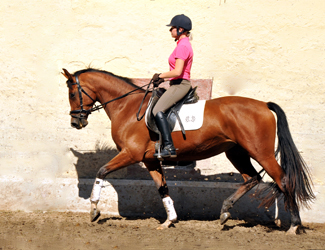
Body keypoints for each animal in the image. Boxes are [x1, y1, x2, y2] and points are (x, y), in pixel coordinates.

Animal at [62, 67, 312, 233]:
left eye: (73, 93)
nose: (76, 122)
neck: (129, 108)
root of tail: (263, 105)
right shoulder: (151, 160)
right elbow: (162, 188)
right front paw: (170, 220)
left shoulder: (131, 154)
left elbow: (102, 171)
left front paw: (94, 210)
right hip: (236, 151)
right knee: (251, 178)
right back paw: (225, 212)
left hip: (261, 152)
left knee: (283, 179)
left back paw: (294, 226)